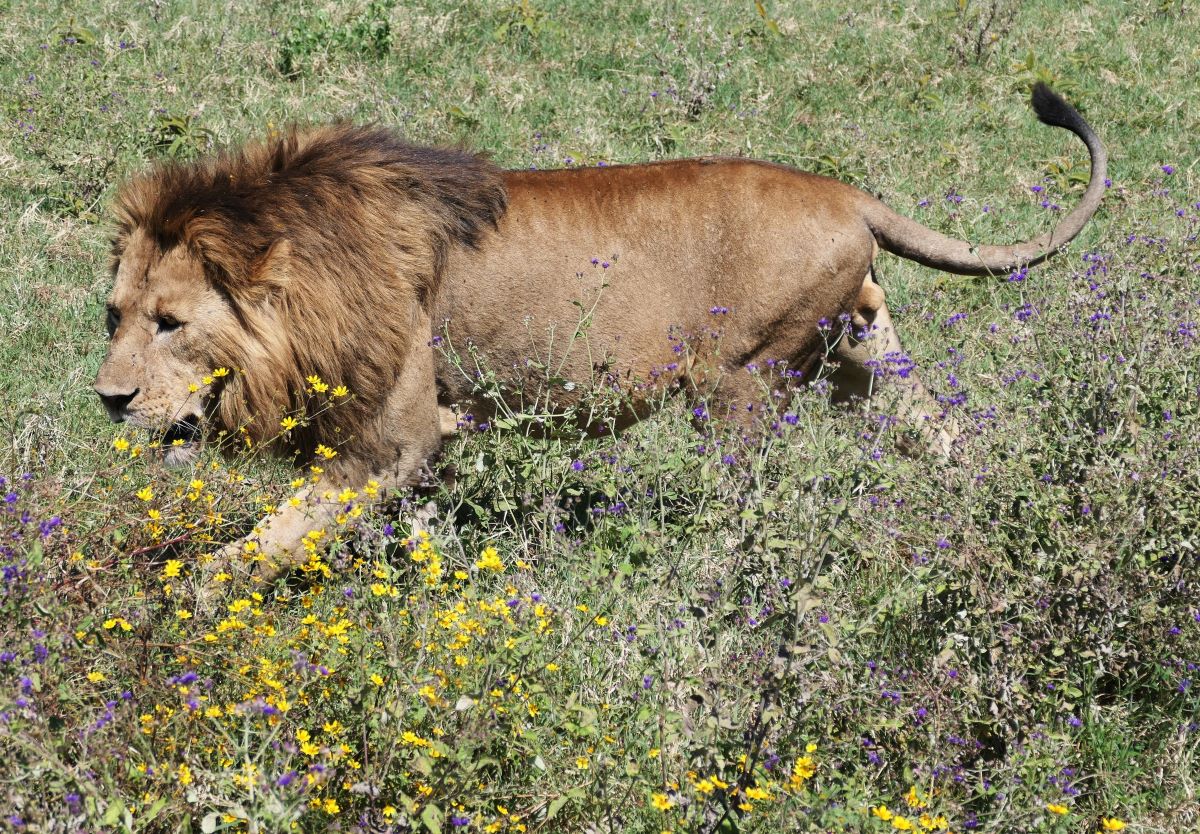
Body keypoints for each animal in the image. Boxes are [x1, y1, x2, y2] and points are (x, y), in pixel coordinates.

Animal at [93, 83, 1104, 580]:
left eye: (172, 323)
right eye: (114, 315)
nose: (107, 398)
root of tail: (846, 193)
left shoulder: (392, 437)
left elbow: (273, 538)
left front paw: (189, 604)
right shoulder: (421, 444)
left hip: (740, 383)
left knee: (748, 507)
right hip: (864, 357)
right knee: (950, 438)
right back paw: (988, 519)